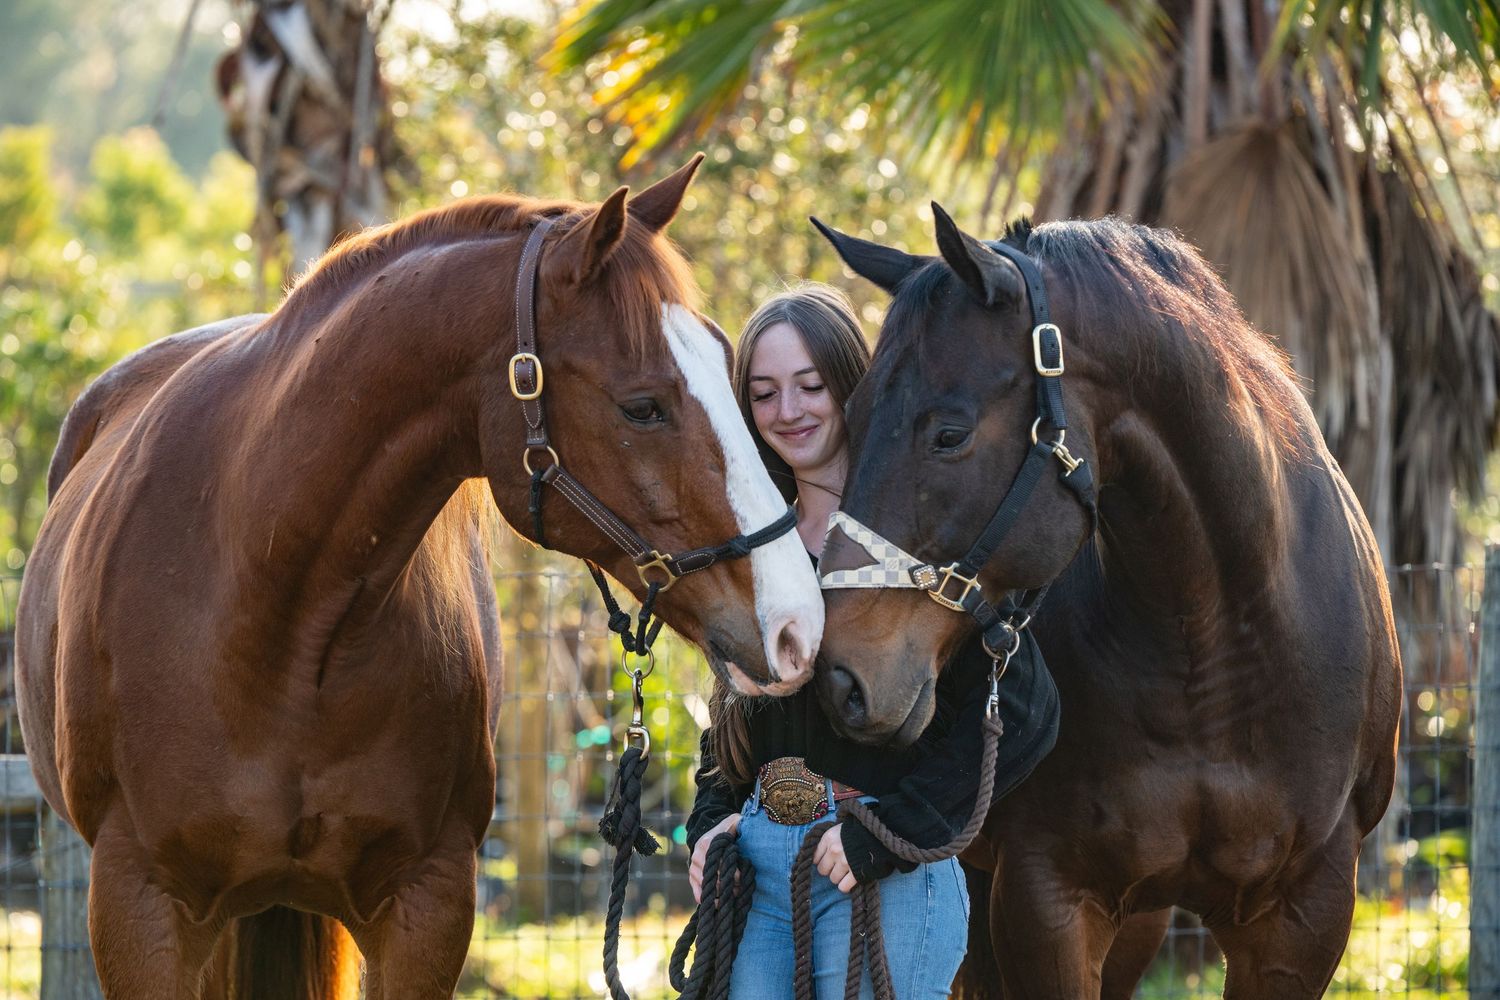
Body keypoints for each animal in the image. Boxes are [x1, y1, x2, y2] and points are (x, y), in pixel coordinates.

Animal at [811, 207, 1401, 998]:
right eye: (851, 416)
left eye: (949, 433)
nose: (839, 678)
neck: (1212, 642)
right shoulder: (1048, 899)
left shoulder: (1305, 912)